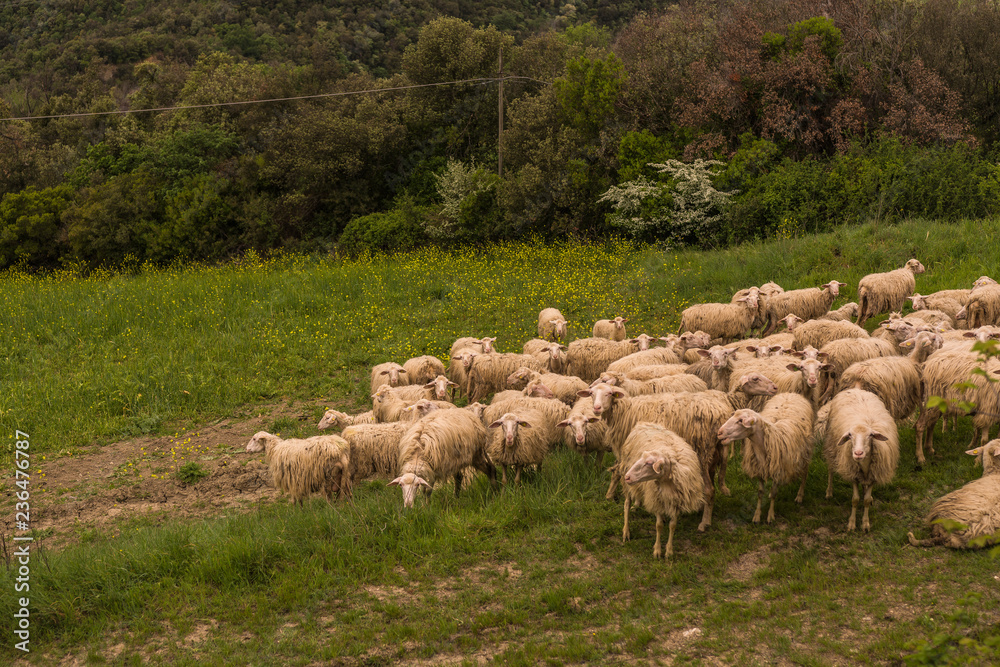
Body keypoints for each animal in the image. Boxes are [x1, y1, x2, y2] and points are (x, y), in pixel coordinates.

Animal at [620, 422, 704, 559]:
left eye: (649, 463)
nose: (628, 477)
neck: (666, 482)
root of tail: (643, 423)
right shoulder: (656, 500)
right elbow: (658, 525)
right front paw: (657, 550)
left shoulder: (677, 501)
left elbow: (673, 525)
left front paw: (669, 551)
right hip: (625, 473)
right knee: (626, 503)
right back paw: (626, 531)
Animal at [716, 393, 815, 524]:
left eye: (740, 421)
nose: (719, 433)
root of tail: (791, 393)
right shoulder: (760, 470)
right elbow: (760, 493)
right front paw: (757, 516)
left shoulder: (778, 471)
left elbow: (774, 493)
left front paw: (770, 516)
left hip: (806, 452)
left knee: (804, 474)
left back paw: (799, 496)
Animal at [822, 388, 900, 532]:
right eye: (850, 435)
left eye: (871, 435)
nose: (858, 453)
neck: (864, 465)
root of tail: (855, 389)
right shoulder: (853, 473)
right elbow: (855, 499)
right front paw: (852, 524)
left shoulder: (874, 474)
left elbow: (866, 500)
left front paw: (865, 524)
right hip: (831, 446)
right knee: (830, 468)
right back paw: (829, 492)